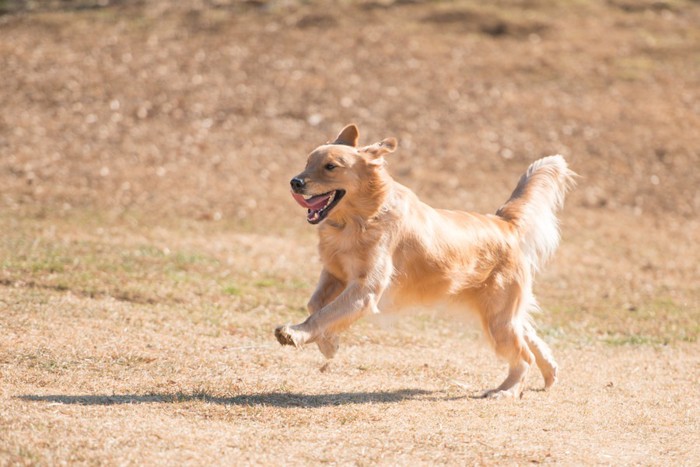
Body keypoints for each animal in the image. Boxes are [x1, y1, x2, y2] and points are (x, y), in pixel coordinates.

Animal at [276, 124, 576, 398]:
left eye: (330, 166)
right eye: (307, 162)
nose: (294, 182)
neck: (364, 217)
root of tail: (504, 222)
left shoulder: (365, 290)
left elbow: (323, 314)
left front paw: (297, 334)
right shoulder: (334, 273)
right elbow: (315, 305)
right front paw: (329, 344)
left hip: (498, 320)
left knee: (523, 356)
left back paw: (506, 391)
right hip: (502, 314)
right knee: (530, 335)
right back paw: (550, 373)